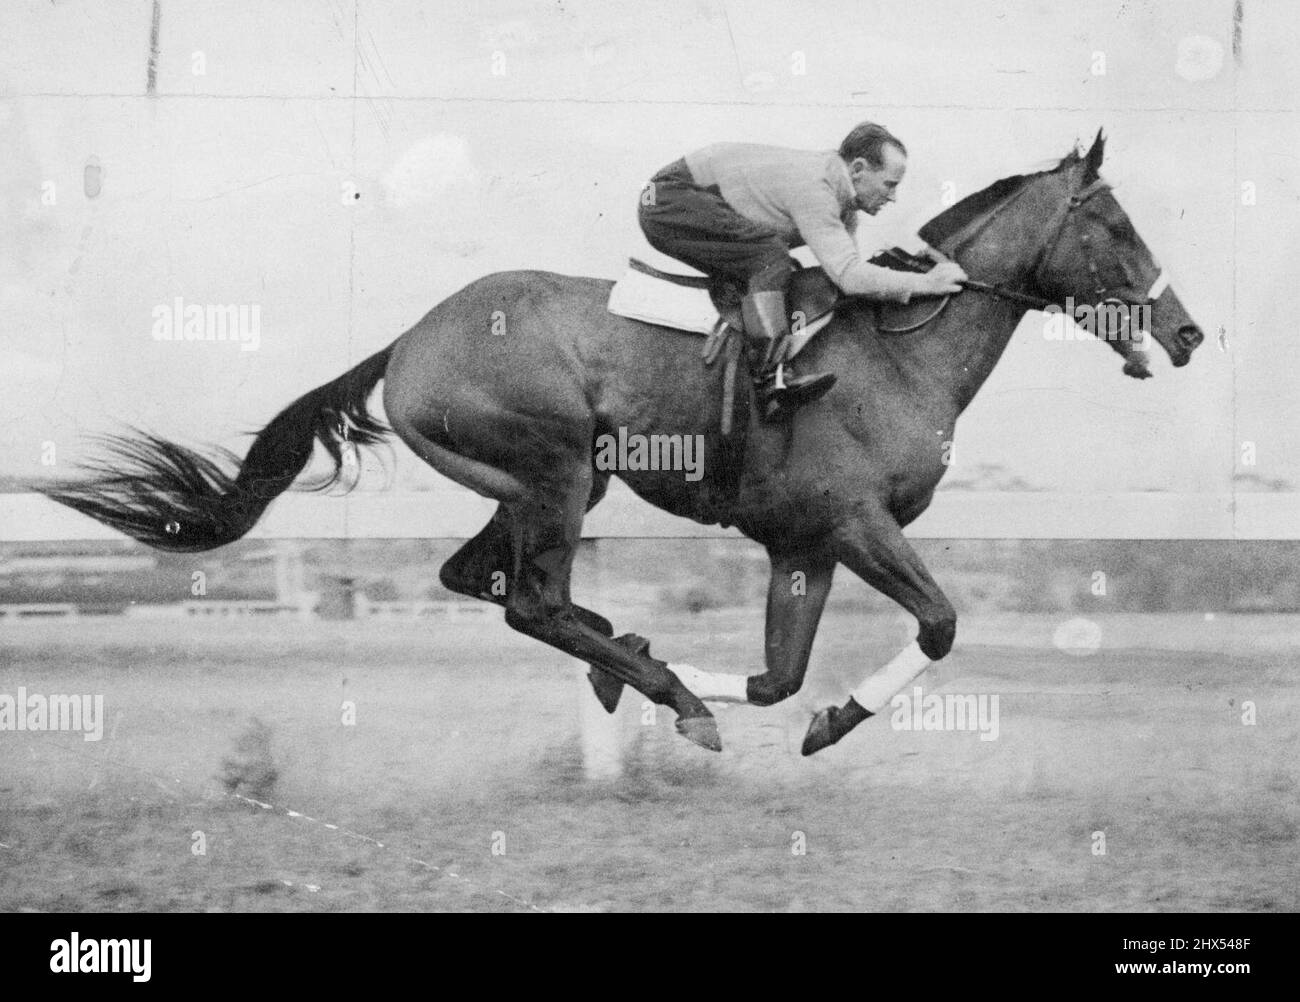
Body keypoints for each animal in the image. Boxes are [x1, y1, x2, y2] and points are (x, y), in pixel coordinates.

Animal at [43, 135, 1196, 758]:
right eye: (1114, 225)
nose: (1185, 334)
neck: (892, 347)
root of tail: (406, 341)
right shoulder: (855, 524)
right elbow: (943, 626)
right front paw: (806, 717)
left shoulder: (802, 546)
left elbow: (778, 680)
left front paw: (796, 711)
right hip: (552, 470)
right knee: (530, 601)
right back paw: (660, 687)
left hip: (537, 484)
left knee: (481, 581)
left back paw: (630, 662)